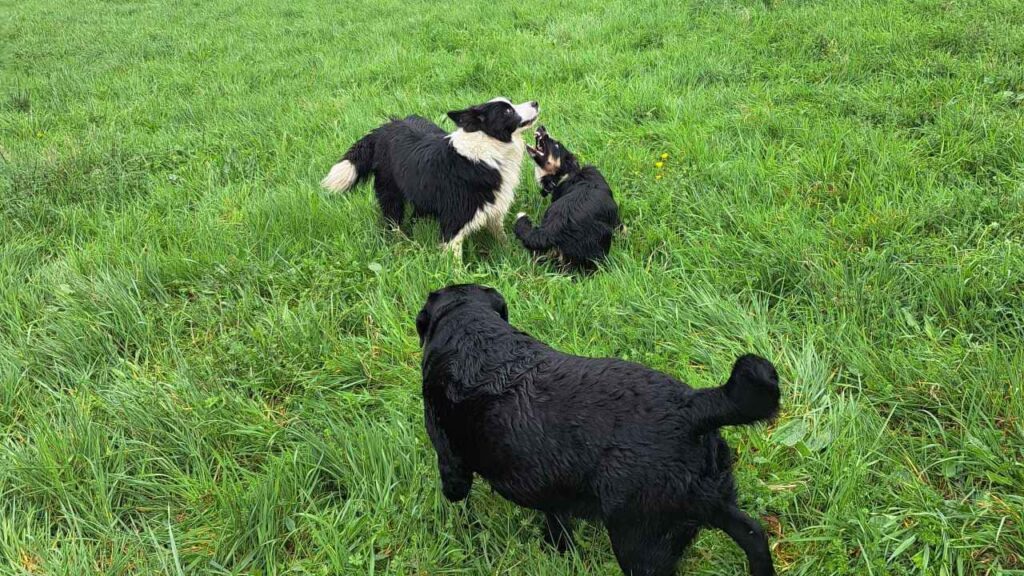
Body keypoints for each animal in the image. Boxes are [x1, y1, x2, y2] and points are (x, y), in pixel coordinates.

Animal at [323, 96, 540, 262]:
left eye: (511, 102)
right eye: (507, 111)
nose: (535, 102)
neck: (487, 147)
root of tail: (385, 127)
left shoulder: (493, 209)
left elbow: (501, 236)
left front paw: (510, 253)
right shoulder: (454, 220)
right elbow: (455, 261)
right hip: (391, 192)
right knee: (393, 221)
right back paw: (400, 243)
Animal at [419, 282, 778, 573]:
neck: (477, 337)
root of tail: (693, 408)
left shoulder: (450, 460)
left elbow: (457, 492)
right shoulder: (551, 487)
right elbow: (557, 522)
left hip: (638, 539)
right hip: (710, 501)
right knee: (754, 535)